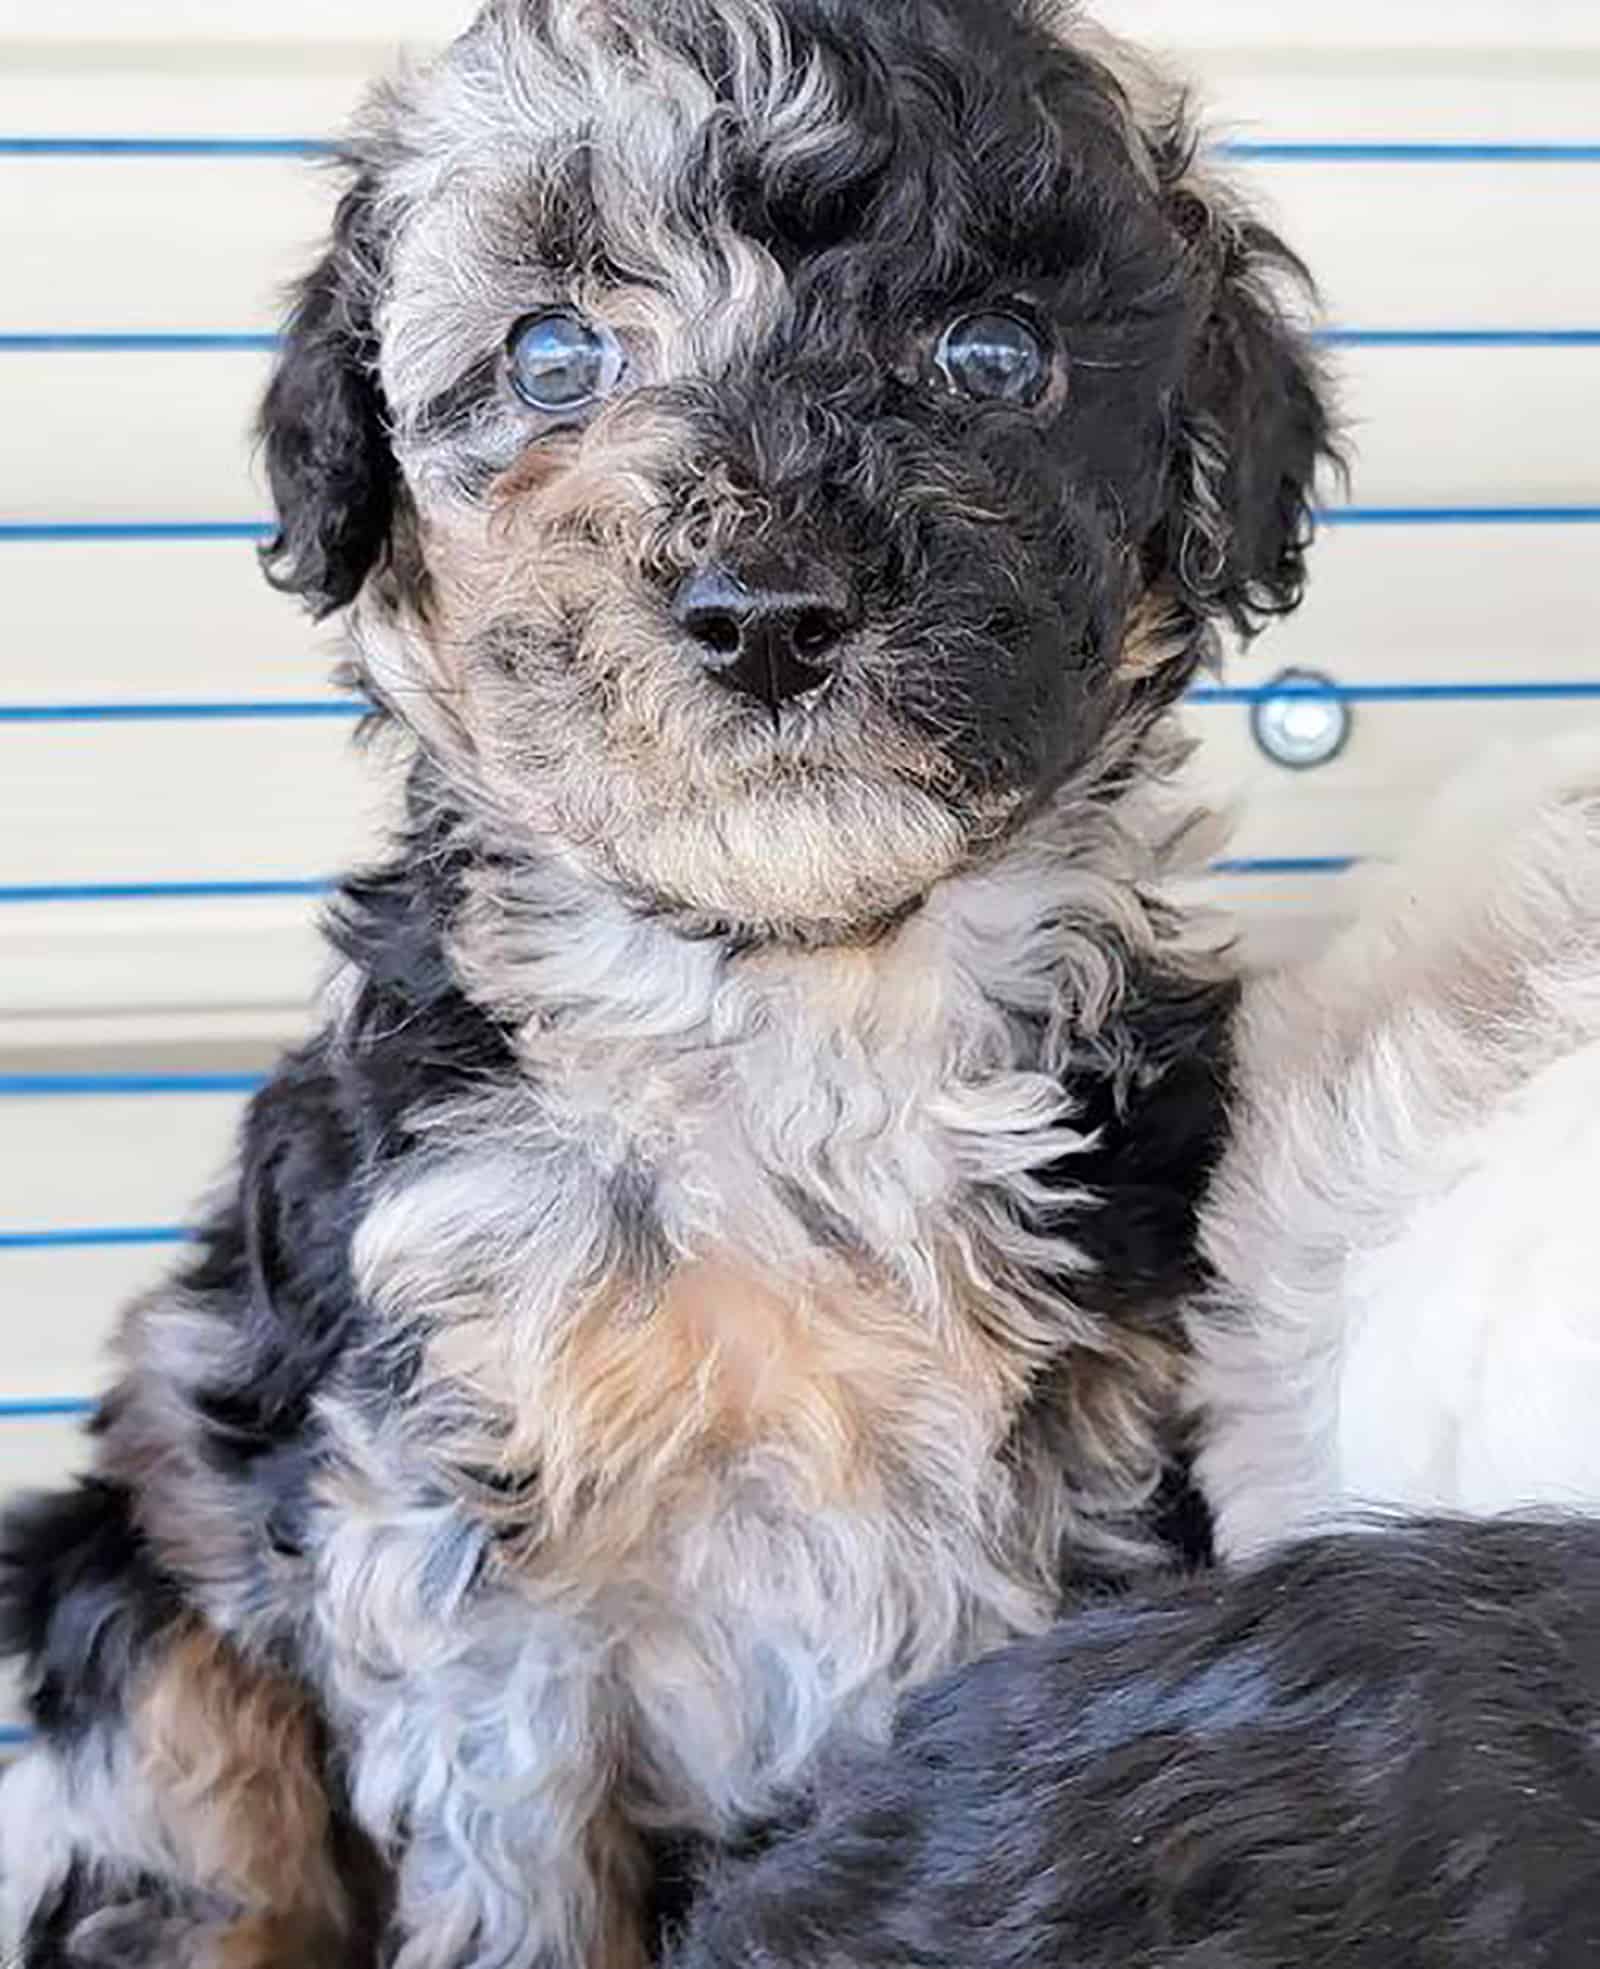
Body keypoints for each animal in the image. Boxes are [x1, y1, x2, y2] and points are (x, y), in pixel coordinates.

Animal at [0, 3, 1322, 1969]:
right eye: (553, 355)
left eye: (997, 354)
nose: (764, 606)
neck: (790, 990)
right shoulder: (454, 1486)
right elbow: (513, 1851)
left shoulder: (1098, 1452)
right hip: (135, 1602)